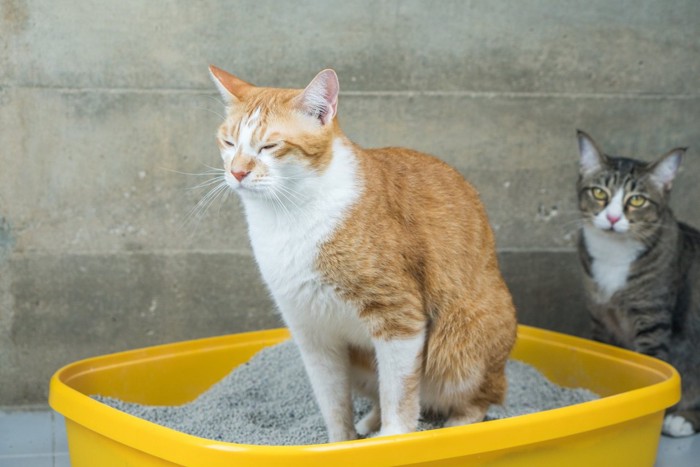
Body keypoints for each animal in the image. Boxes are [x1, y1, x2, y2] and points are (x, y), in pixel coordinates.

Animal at [206, 66, 516, 442]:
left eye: (270, 145)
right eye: (229, 142)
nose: (237, 171)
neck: (287, 216)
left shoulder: (399, 318)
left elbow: (399, 393)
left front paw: (395, 437)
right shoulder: (312, 333)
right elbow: (334, 404)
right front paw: (342, 443)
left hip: (462, 343)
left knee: (478, 398)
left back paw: (454, 426)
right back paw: (370, 424)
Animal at [576, 131, 696, 438]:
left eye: (638, 200)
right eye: (599, 193)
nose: (612, 218)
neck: (613, 255)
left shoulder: (652, 319)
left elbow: (650, 360)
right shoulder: (600, 317)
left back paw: (681, 420)